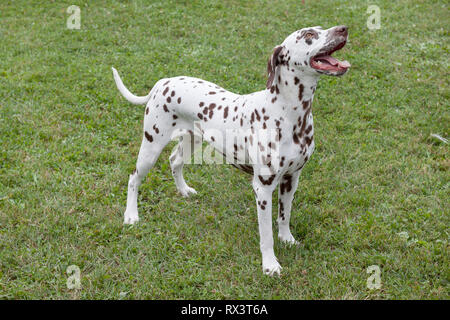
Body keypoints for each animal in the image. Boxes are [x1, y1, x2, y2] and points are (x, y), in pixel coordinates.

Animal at [112, 25, 352, 276]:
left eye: (321, 28)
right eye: (308, 35)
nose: (343, 28)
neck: (289, 114)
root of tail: (163, 82)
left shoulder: (291, 179)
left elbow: (284, 217)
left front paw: (287, 239)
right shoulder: (262, 189)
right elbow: (266, 235)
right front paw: (270, 265)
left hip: (191, 141)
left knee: (174, 161)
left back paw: (184, 190)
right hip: (151, 147)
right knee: (134, 178)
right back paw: (131, 216)